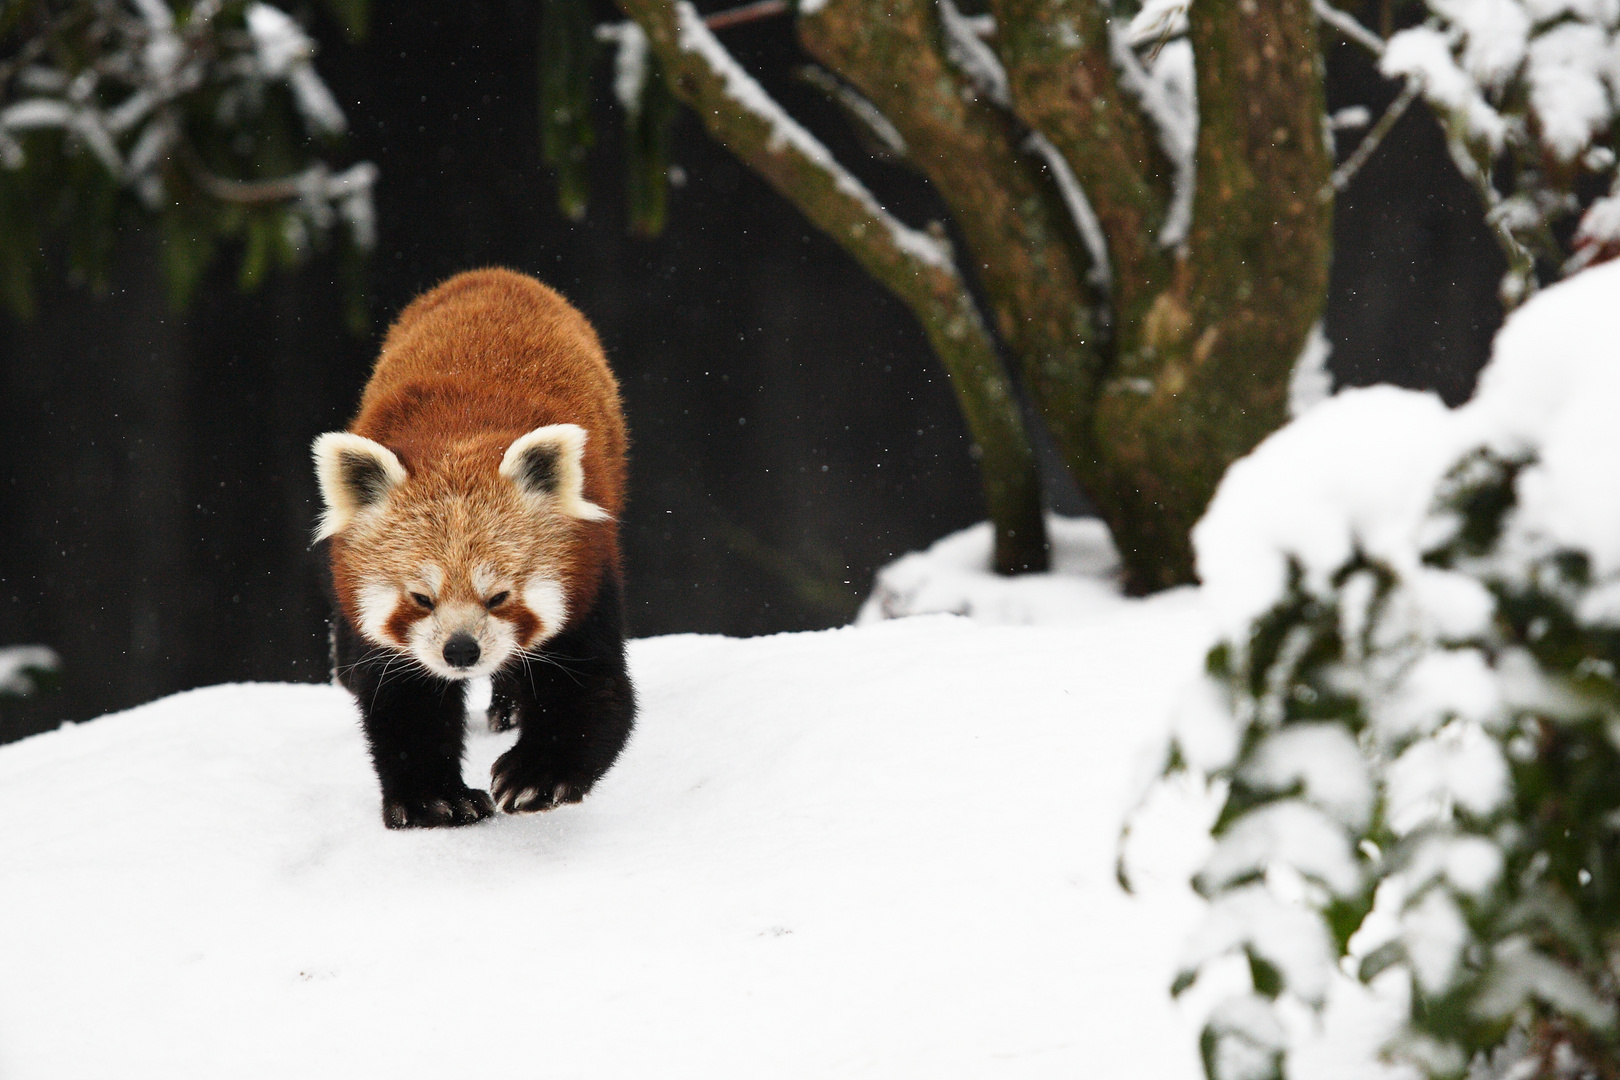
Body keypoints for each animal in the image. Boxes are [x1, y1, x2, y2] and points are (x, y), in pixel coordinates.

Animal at [309, 268, 631, 829]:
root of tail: (494, 275)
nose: (461, 651)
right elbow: (404, 701)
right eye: (421, 599)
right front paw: (435, 800)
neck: (459, 437)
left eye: (499, 597)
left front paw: (536, 775)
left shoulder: (590, 575)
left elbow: (593, 688)